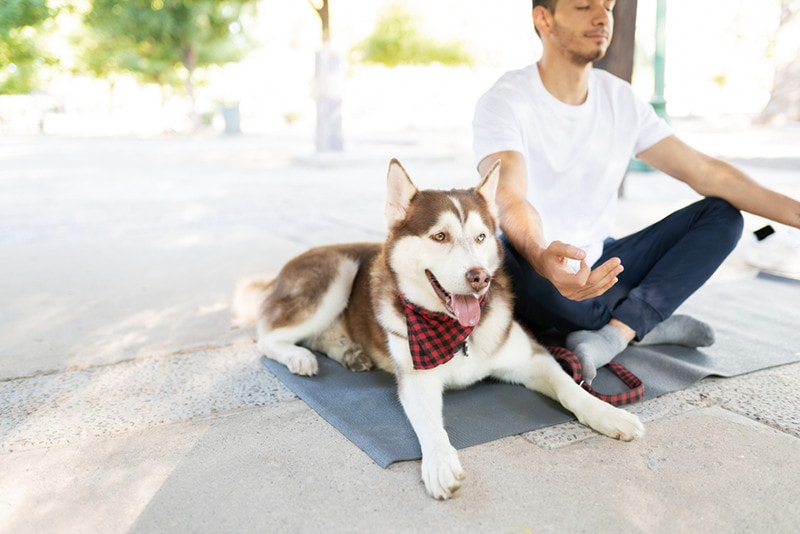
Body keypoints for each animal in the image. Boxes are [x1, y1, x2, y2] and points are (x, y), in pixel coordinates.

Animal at [238, 159, 644, 502]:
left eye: (481, 238)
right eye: (439, 237)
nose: (479, 277)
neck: (455, 333)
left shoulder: (532, 356)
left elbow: (570, 387)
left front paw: (608, 414)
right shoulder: (417, 378)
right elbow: (431, 425)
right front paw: (439, 461)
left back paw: (349, 352)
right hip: (337, 272)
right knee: (268, 338)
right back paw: (298, 357)